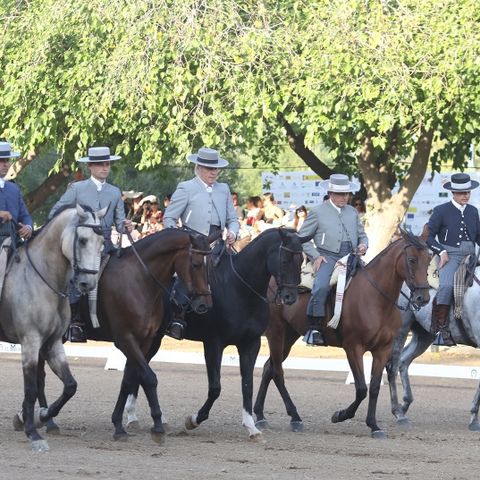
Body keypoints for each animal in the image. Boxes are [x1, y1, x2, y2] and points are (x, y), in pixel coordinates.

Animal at [0, 204, 106, 452]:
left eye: (102, 242)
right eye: (83, 240)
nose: (87, 284)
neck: (42, 279)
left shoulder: (53, 343)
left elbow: (70, 385)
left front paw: (41, 417)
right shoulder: (30, 342)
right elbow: (31, 388)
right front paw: (33, 432)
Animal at [123, 228, 304, 438]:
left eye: (302, 259)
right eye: (285, 260)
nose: (290, 297)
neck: (239, 289)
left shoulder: (251, 343)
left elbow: (247, 386)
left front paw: (251, 426)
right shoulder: (213, 343)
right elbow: (215, 388)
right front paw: (194, 420)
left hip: (154, 338)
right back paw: (133, 416)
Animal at [253, 229, 430, 438]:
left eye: (429, 259)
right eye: (411, 260)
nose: (423, 297)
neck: (376, 298)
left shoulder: (382, 350)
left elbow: (374, 387)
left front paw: (374, 426)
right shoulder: (353, 348)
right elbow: (361, 388)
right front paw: (340, 415)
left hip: (289, 336)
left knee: (268, 368)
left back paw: (260, 415)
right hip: (276, 332)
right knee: (277, 371)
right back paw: (294, 418)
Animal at [386, 266, 480, 432]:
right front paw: (474, 419)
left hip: (424, 335)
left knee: (403, 361)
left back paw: (404, 405)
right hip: (401, 330)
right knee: (392, 366)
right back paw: (398, 414)